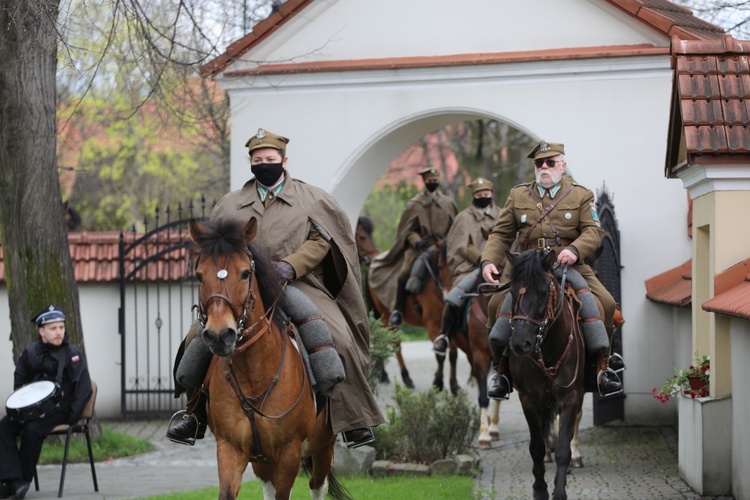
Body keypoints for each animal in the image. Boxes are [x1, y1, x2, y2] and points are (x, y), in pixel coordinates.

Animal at [191, 218, 350, 500]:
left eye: (245, 273)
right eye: (199, 275)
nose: (220, 335)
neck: (253, 376)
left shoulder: (288, 454)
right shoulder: (230, 449)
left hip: (324, 445)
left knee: (318, 485)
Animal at [508, 250, 592, 500]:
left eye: (543, 292)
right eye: (512, 291)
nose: (520, 344)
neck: (548, 348)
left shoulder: (570, 397)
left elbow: (563, 448)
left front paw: (560, 491)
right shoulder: (529, 399)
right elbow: (536, 448)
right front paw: (540, 489)